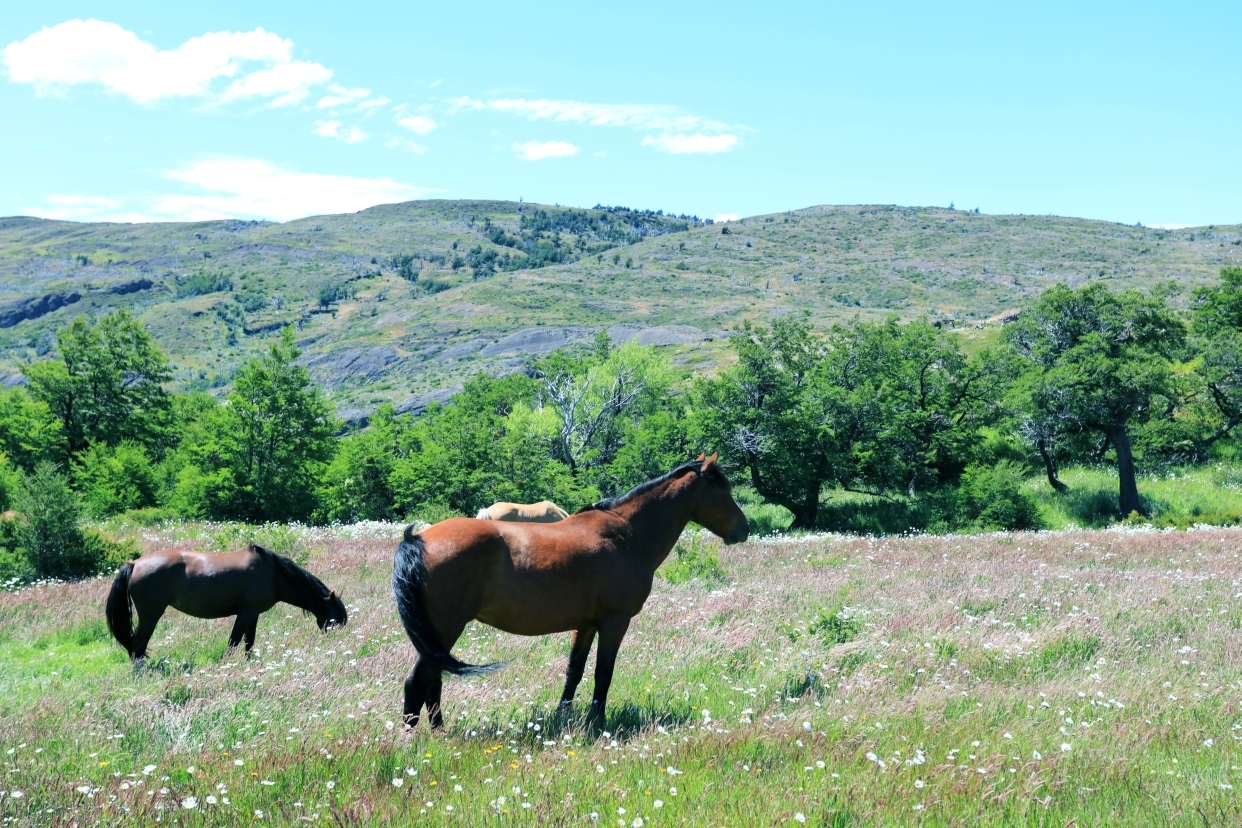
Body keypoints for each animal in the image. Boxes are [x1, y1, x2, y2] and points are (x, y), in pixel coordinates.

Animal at [107, 543, 347, 660]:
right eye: (335, 618)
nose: (336, 644)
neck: (275, 574)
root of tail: (135, 563)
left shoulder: (253, 614)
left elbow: (249, 643)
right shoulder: (246, 613)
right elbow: (234, 642)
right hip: (150, 615)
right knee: (138, 645)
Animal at [389, 449, 745, 729]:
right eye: (724, 490)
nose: (745, 528)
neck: (627, 535)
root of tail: (418, 539)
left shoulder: (585, 626)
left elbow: (574, 671)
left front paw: (564, 717)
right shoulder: (614, 623)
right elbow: (603, 674)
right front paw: (596, 723)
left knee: (433, 681)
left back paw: (438, 730)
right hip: (446, 628)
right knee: (418, 682)